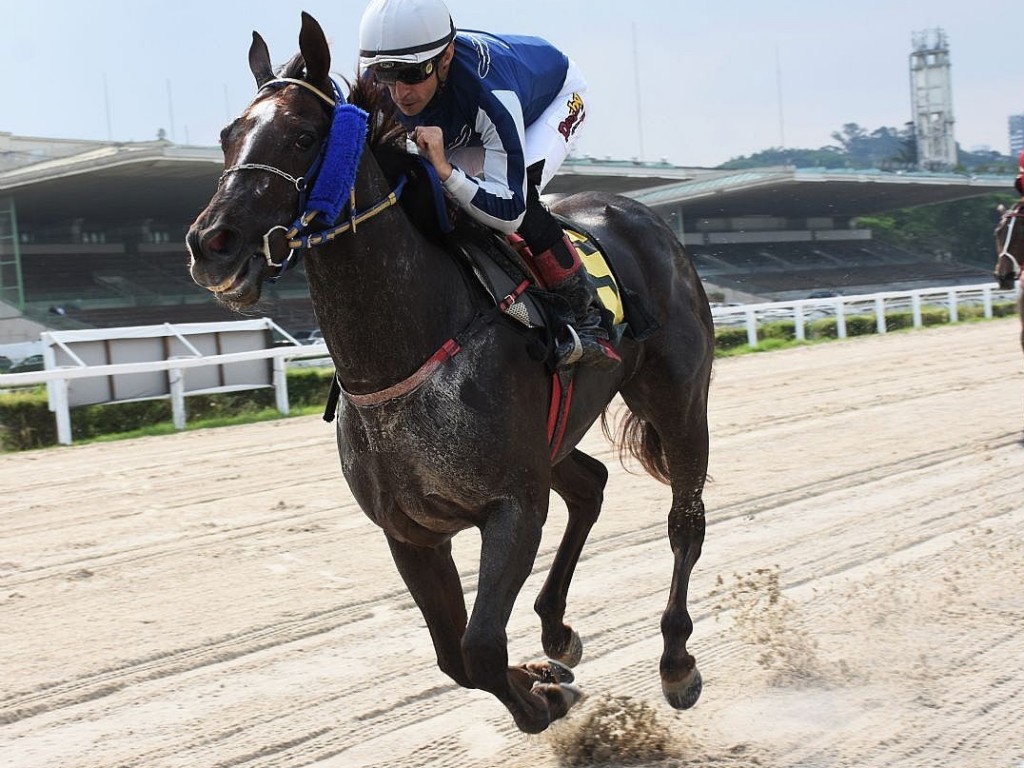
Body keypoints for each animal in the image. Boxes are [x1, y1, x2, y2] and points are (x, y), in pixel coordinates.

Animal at [186, 10, 712, 733]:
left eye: (302, 136)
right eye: (227, 136)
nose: (212, 244)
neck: (402, 355)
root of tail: (644, 216)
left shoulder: (513, 507)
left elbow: (482, 646)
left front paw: (543, 697)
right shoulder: (411, 532)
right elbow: (455, 659)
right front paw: (543, 680)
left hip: (677, 397)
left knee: (685, 518)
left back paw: (676, 662)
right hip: (554, 438)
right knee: (591, 486)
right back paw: (556, 631)